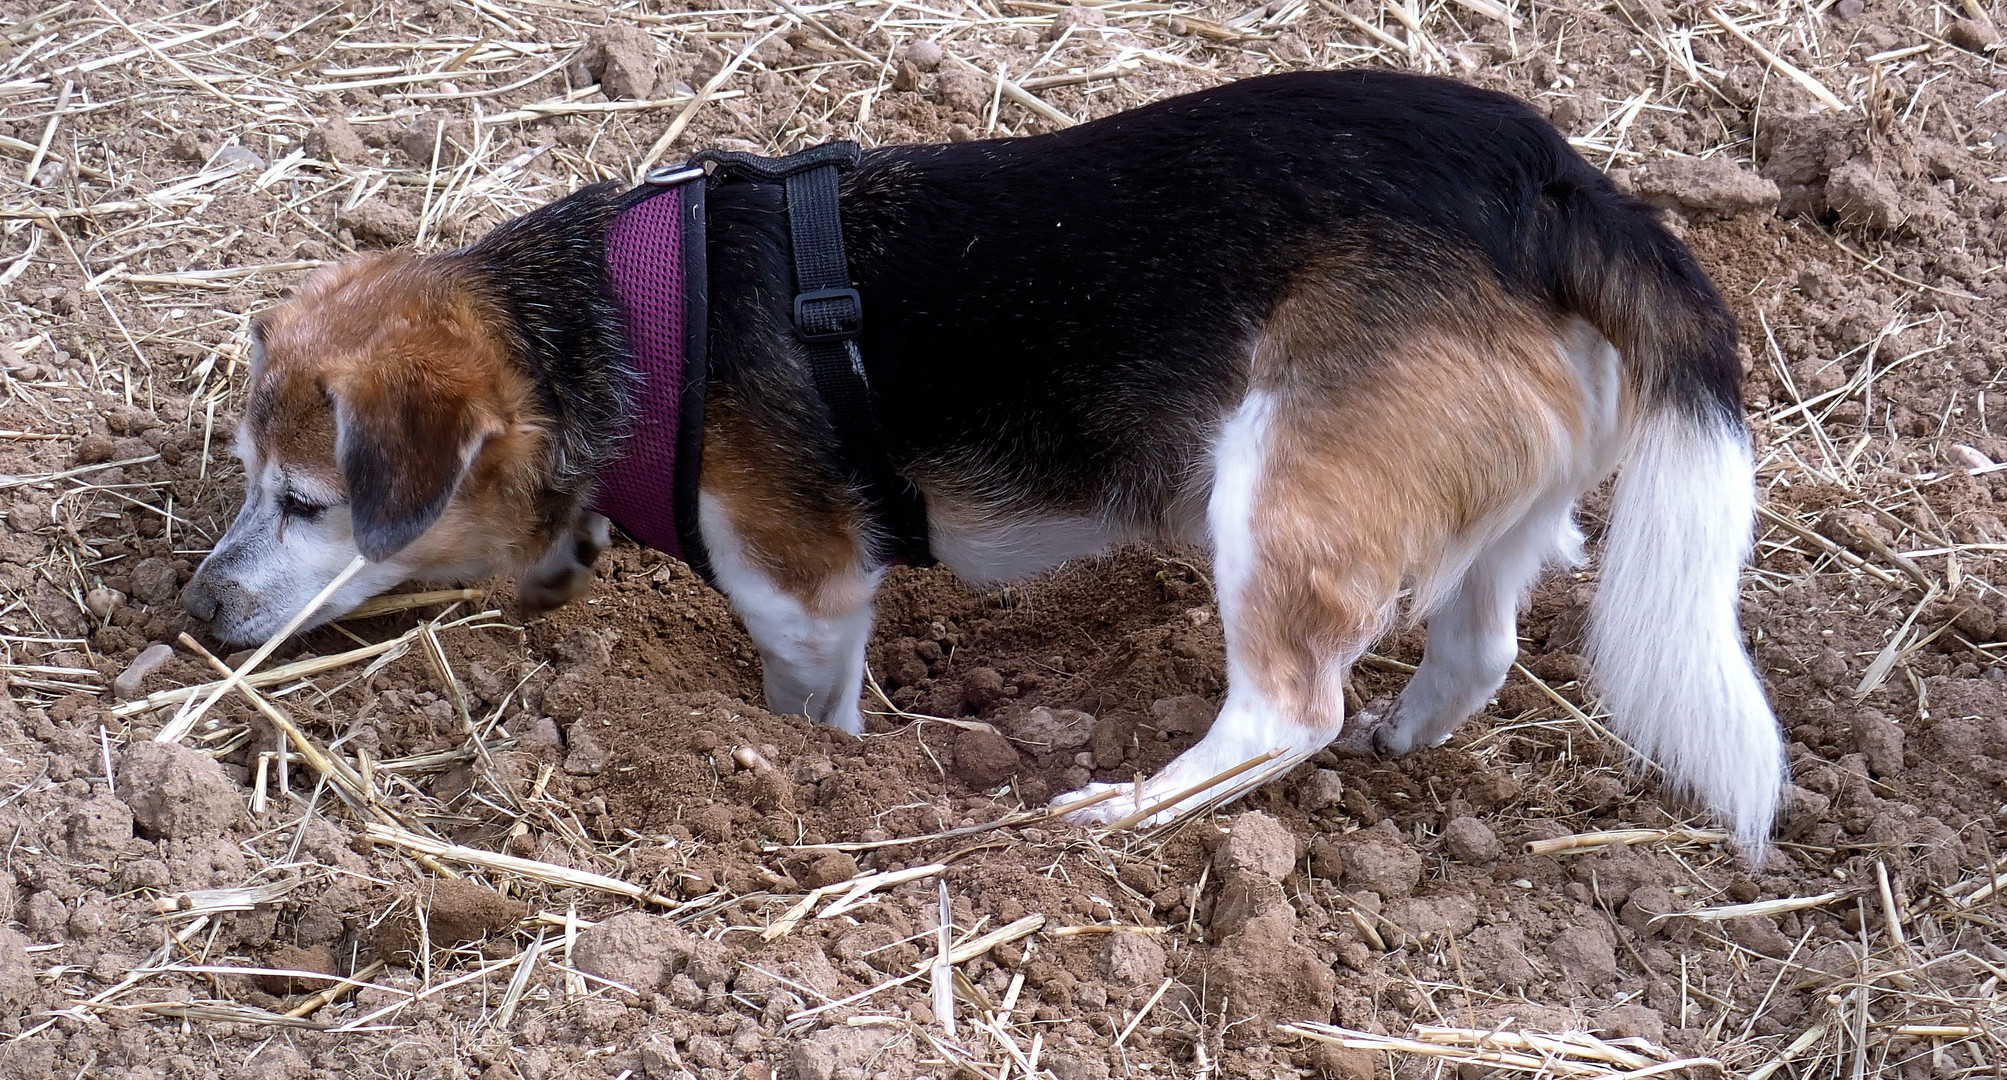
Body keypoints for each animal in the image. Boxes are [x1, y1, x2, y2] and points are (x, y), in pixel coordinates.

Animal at [184, 69, 1790, 847]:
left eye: (307, 502)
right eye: (248, 483)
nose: (194, 605)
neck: (627, 315)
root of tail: (1559, 187)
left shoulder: (802, 592)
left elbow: (813, 705)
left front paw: (813, 774)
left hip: (1275, 488)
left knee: (1285, 709)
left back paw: (1126, 811)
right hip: (1503, 496)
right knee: (1482, 637)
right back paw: (1408, 739)